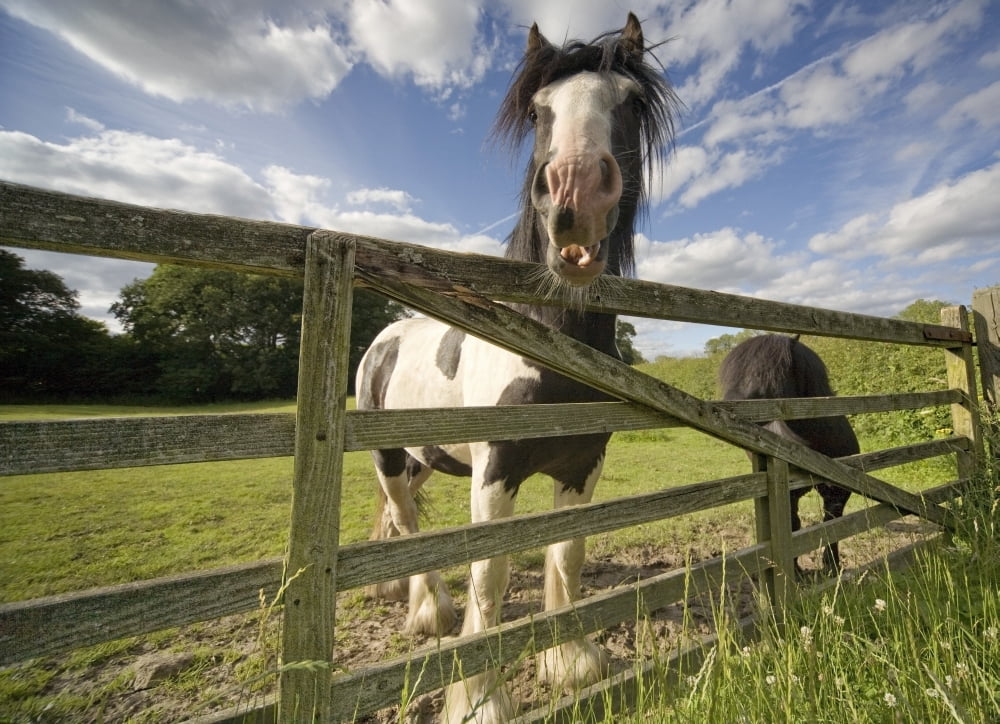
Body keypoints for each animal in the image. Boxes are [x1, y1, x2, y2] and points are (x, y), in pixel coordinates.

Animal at [355, 13, 678, 723]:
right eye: (537, 110)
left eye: (631, 102)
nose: (574, 193)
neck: (548, 347)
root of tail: (383, 339)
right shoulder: (495, 471)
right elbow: (491, 573)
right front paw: (479, 698)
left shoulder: (582, 465)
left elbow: (567, 554)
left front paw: (571, 660)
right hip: (389, 455)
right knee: (410, 521)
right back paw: (432, 611)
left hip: (426, 457)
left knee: (402, 514)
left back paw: (399, 593)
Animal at [719, 334, 860, 574]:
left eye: (761, 372)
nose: (724, 407)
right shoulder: (789, 492)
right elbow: (793, 525)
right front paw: (795, 572)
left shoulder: (839, 490)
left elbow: (833, 523)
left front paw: (832, 566)